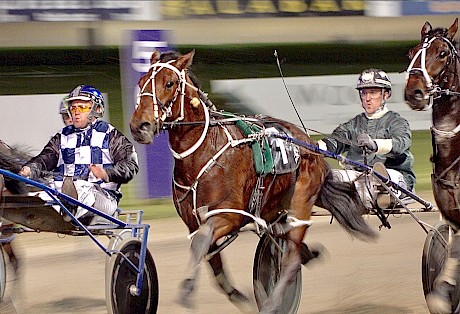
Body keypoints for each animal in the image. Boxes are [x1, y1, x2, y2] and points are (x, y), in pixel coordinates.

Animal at [129, 49, 378, 314]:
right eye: (141, 82)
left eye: (169, 83)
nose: (139, 126)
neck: (204, 152)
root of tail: (312, 145)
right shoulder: (193, 222)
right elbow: (211, 258)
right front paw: (240, 297)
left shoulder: (229, 215)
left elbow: (201, 243)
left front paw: (187, 289)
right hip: (273, 206)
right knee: (285, 241)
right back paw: (308, 255)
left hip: (301, 202)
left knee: (291, 258)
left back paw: (273, 302)